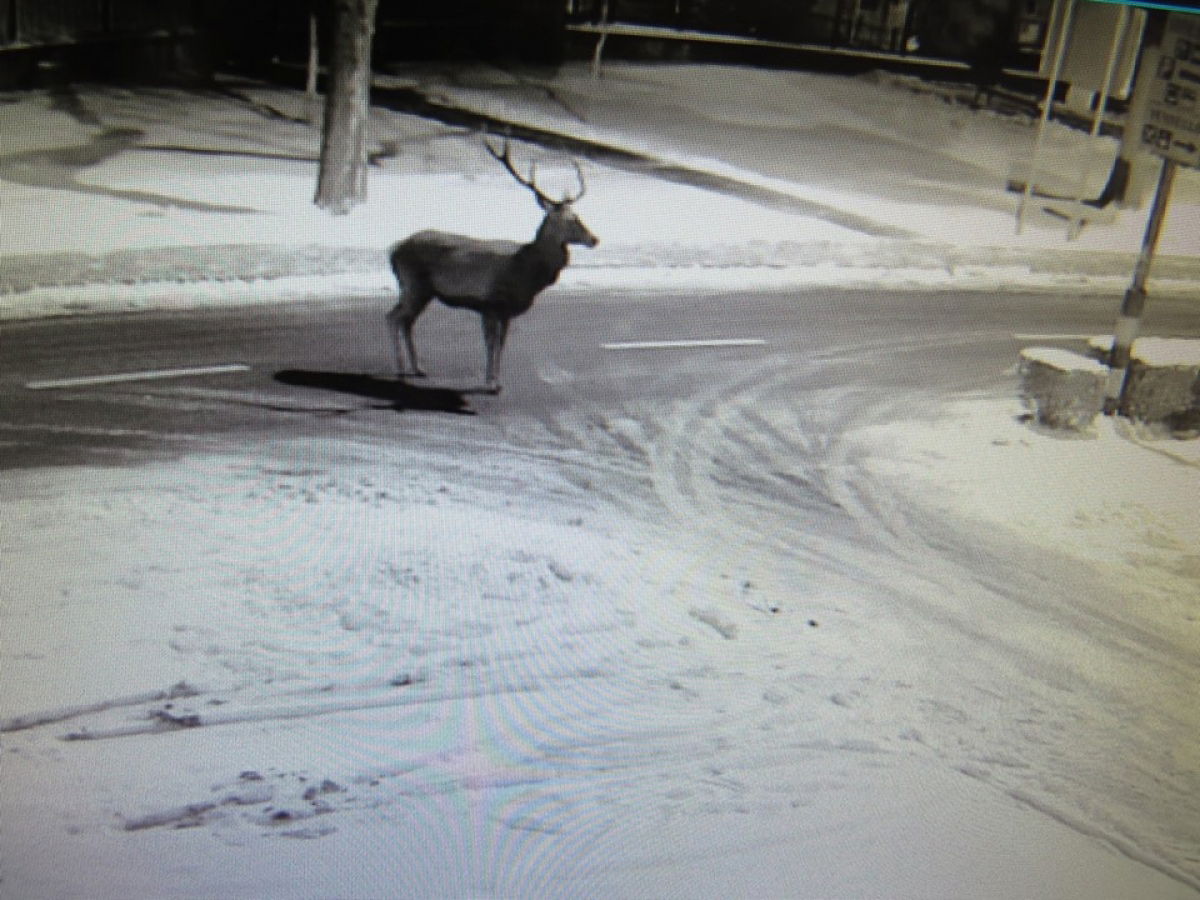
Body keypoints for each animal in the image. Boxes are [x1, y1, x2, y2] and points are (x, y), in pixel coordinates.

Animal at [386, 139, 597, 393]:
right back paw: (400, 369)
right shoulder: (491, 303)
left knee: (406, 321)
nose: (594, 239)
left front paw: (496, 380)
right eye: (569, 220)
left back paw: (418, 368)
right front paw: (492, 382)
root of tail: (393, 252)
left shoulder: (502, 311)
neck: (525, 271)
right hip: (414, 284)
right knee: (393, 317)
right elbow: (492, 343)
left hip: (422, 291)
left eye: (577, 215)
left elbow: (500, 344)